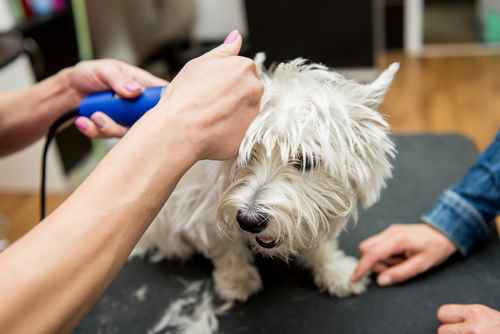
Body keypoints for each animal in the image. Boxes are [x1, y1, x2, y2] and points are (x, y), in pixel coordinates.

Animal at [133, 54, 398, 300]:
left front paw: (335, 270)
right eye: (246, 155)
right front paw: (236, 280)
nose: (249, 221)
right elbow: (223, 246)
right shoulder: (201, 206)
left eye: (306, 161)